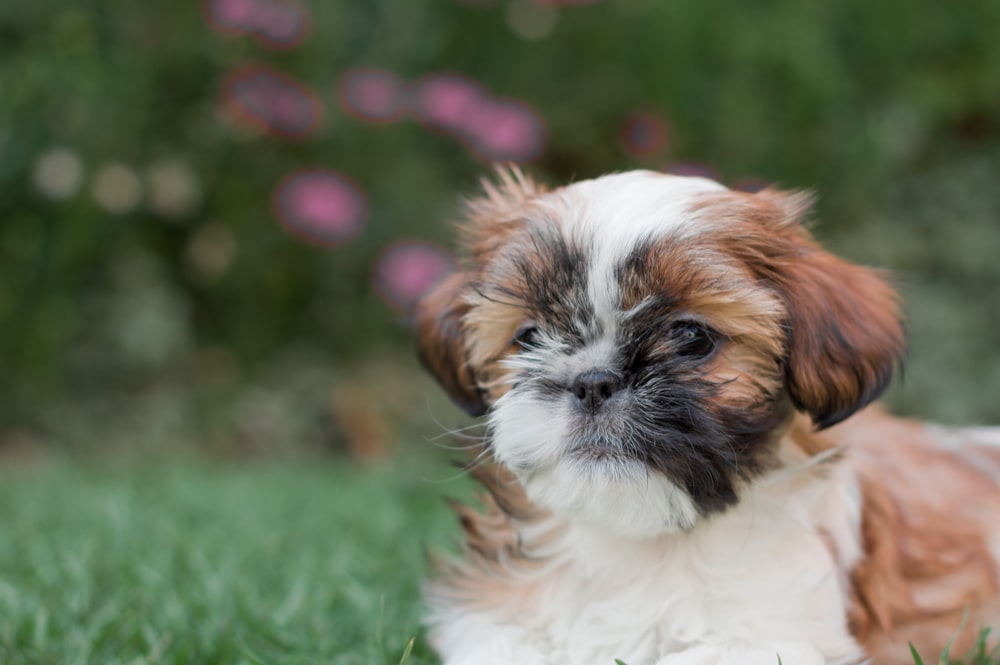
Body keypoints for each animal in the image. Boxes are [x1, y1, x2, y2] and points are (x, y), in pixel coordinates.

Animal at [414, 169, 1000, 664]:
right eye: (529, 337)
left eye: (692, 338)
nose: (593, 382)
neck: (649, 542)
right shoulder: (495, 626)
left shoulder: (772, 633)